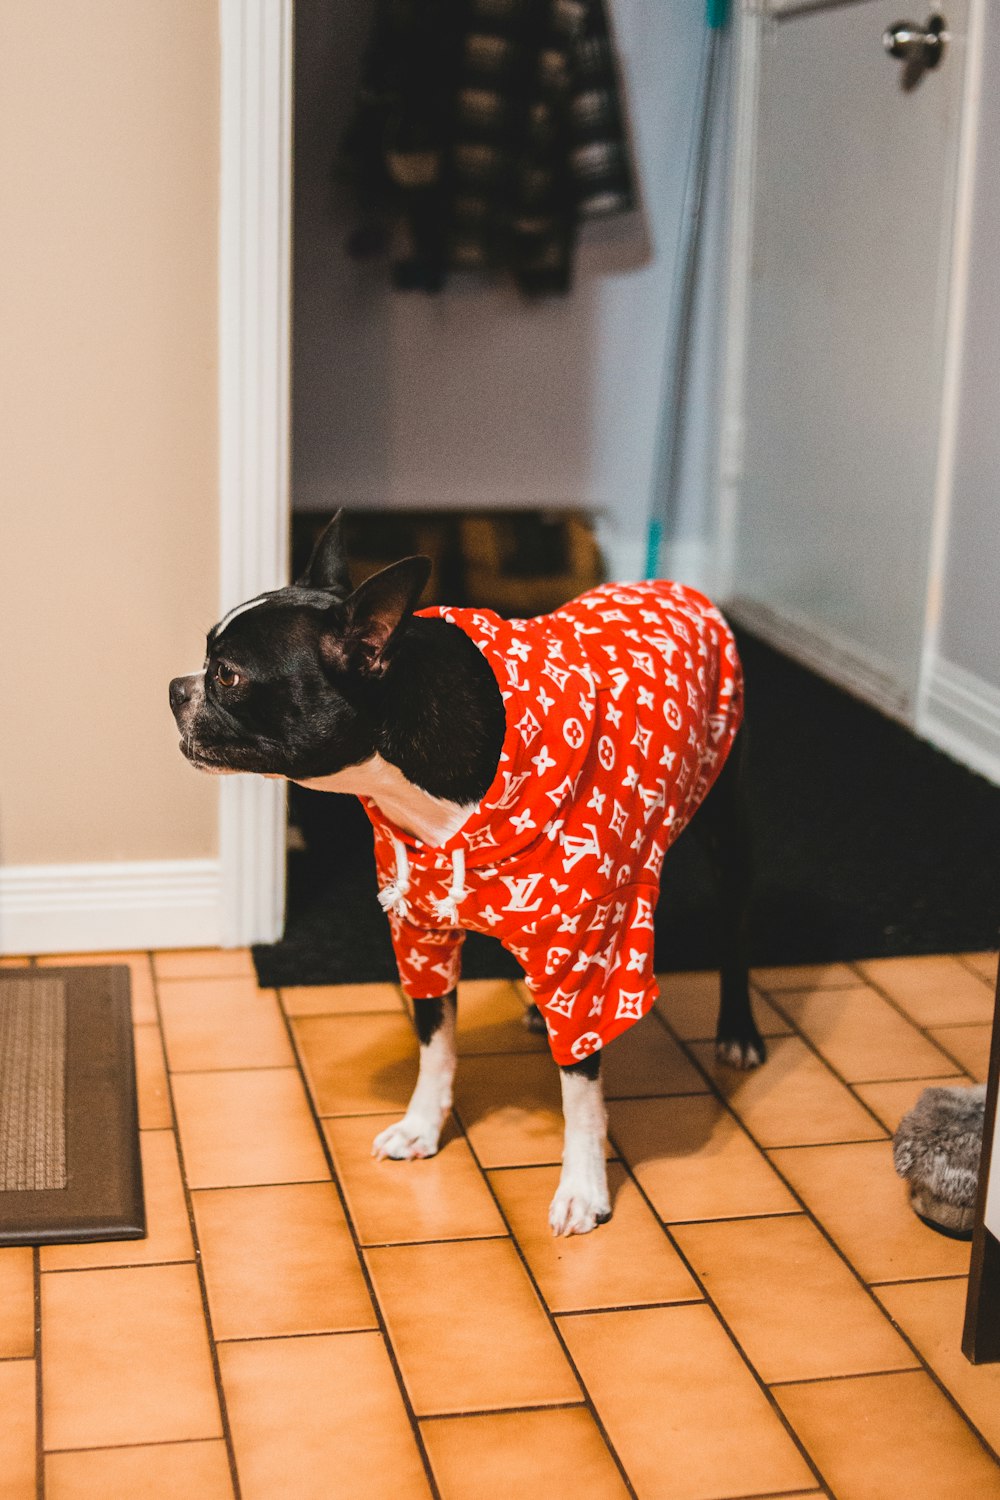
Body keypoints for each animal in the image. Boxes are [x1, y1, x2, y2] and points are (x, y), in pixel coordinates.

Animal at [172, 513, 767, 1230]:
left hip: (726, 821)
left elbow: (581, 1091)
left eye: (229, 676)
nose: (175, 688)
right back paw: (539, 1014)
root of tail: (682, 587)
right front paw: (422, 1127)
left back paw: (738, 1032)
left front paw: (584, 1188)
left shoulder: (589, 949)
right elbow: (436, 1043)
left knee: (736, 932)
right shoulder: (420, 933)